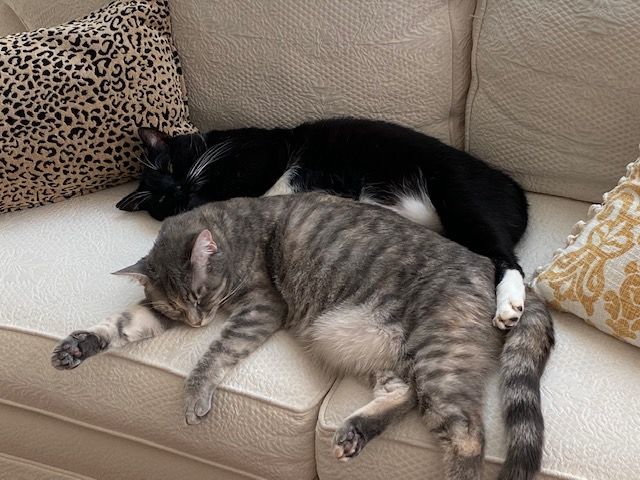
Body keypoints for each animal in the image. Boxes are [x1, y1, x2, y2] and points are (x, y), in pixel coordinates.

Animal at [50, 193, 552, 478]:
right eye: (176, 306)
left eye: (199, 293)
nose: (194, 322)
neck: (233, 229)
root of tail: (494, 271)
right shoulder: (156, 313)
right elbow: (120, 324)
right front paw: (80, 344)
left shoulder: (261, 307)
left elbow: (215, 352)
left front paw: (195, 393)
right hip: (387, 351)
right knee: (404, 394)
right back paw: (354, 432)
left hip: (438, 355)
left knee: (468, 434)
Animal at [117, 117, 528, 326]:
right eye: (161, 200)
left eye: (171, 166)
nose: (177, 190)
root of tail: (516, 192)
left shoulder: (261, 155)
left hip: (459, 196)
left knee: (503, 258)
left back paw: (509, 305)